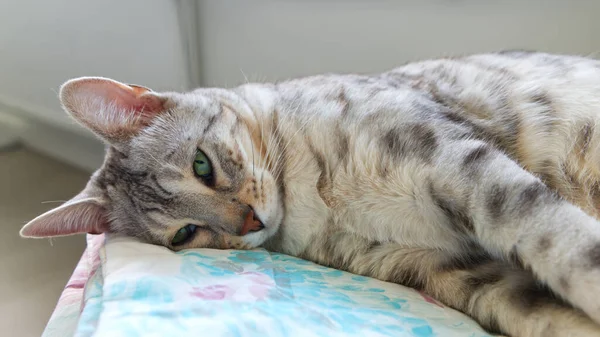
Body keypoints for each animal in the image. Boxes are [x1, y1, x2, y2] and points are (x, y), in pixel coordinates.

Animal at [22, 50, 600, 336]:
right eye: (185, 234)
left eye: (202, 165)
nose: (250, 222)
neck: (314, 201)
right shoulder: (440, 265)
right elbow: (539, 311)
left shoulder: (456, 161)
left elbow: (558, 241)